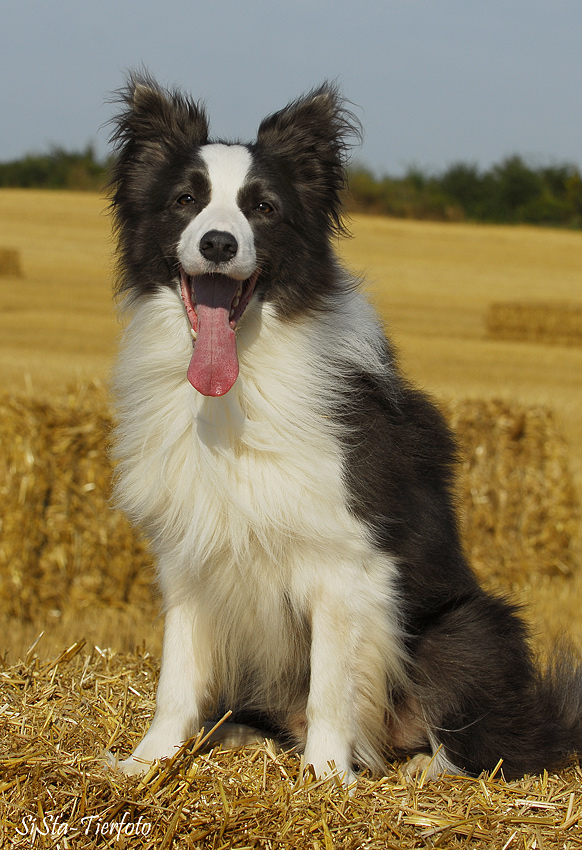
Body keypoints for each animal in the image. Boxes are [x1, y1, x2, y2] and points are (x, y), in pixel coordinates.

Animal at [109, 73, 582, 780]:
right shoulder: (192, 557)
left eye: (263, 208)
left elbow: (332, 687)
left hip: (464, 632)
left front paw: (325, 779)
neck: (242, 380)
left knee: (487, 745)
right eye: (186, 201)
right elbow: (177, 676)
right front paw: (148, 763)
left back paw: (418, 769)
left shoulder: (343, 563)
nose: (218, 243)